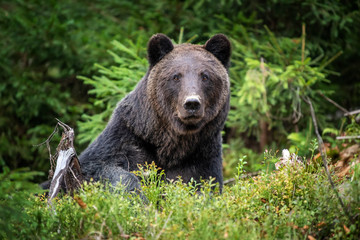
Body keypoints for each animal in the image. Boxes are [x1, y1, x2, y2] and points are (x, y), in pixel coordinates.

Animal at [78, 33, 231, 191]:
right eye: (176, 76)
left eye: (205, 76)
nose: (192, 103)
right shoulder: (125, 137)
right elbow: (98, 166)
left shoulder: (203, 154)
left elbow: (205, 183)